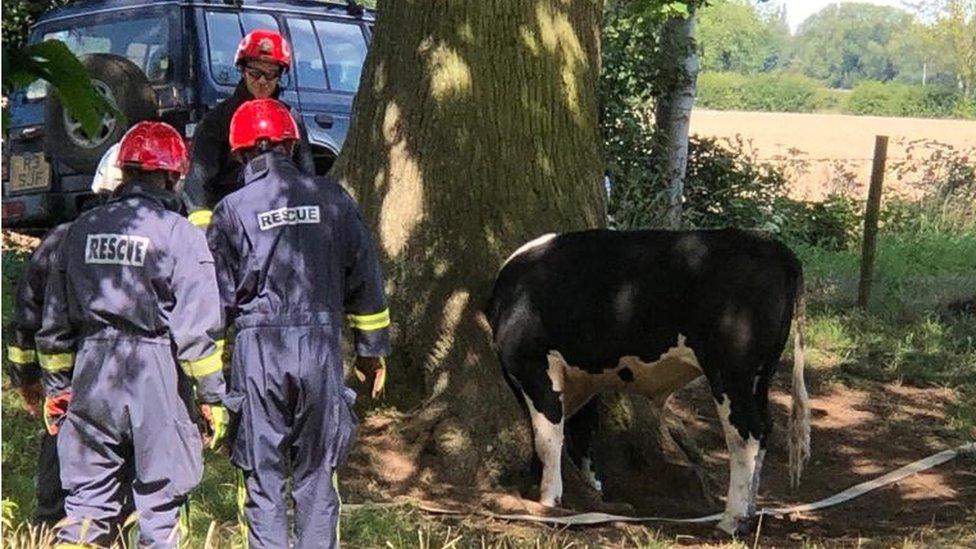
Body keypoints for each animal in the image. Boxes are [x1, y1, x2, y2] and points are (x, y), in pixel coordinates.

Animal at [484, 228, 812, 536]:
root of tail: (772, 246)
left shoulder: (533, 365)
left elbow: (549, 438)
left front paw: (548, 503)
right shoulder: (583, 378)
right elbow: (581, 434)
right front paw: (593, 491)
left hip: (730, 371)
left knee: (746, 435)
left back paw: (732, 520)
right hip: (761, 373)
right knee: (765, 429)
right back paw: (751, 512)